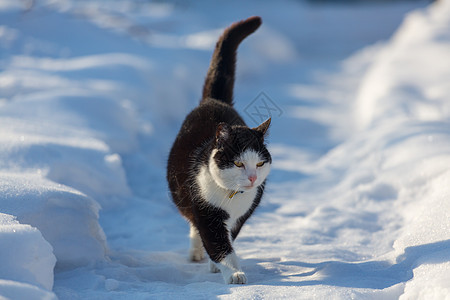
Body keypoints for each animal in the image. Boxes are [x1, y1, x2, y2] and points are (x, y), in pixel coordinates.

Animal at [166, 15, 268, 284]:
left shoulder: (242, 215)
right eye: (239, 163)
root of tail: (213, 100)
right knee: (192, 221)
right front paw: (234, 273)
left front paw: (218, 265)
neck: (231, 196)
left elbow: (227, 238)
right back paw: (196, 253)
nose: (252, 178)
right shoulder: (205, 209)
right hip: (183, 192)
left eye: (259, 163)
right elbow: (218, 242)